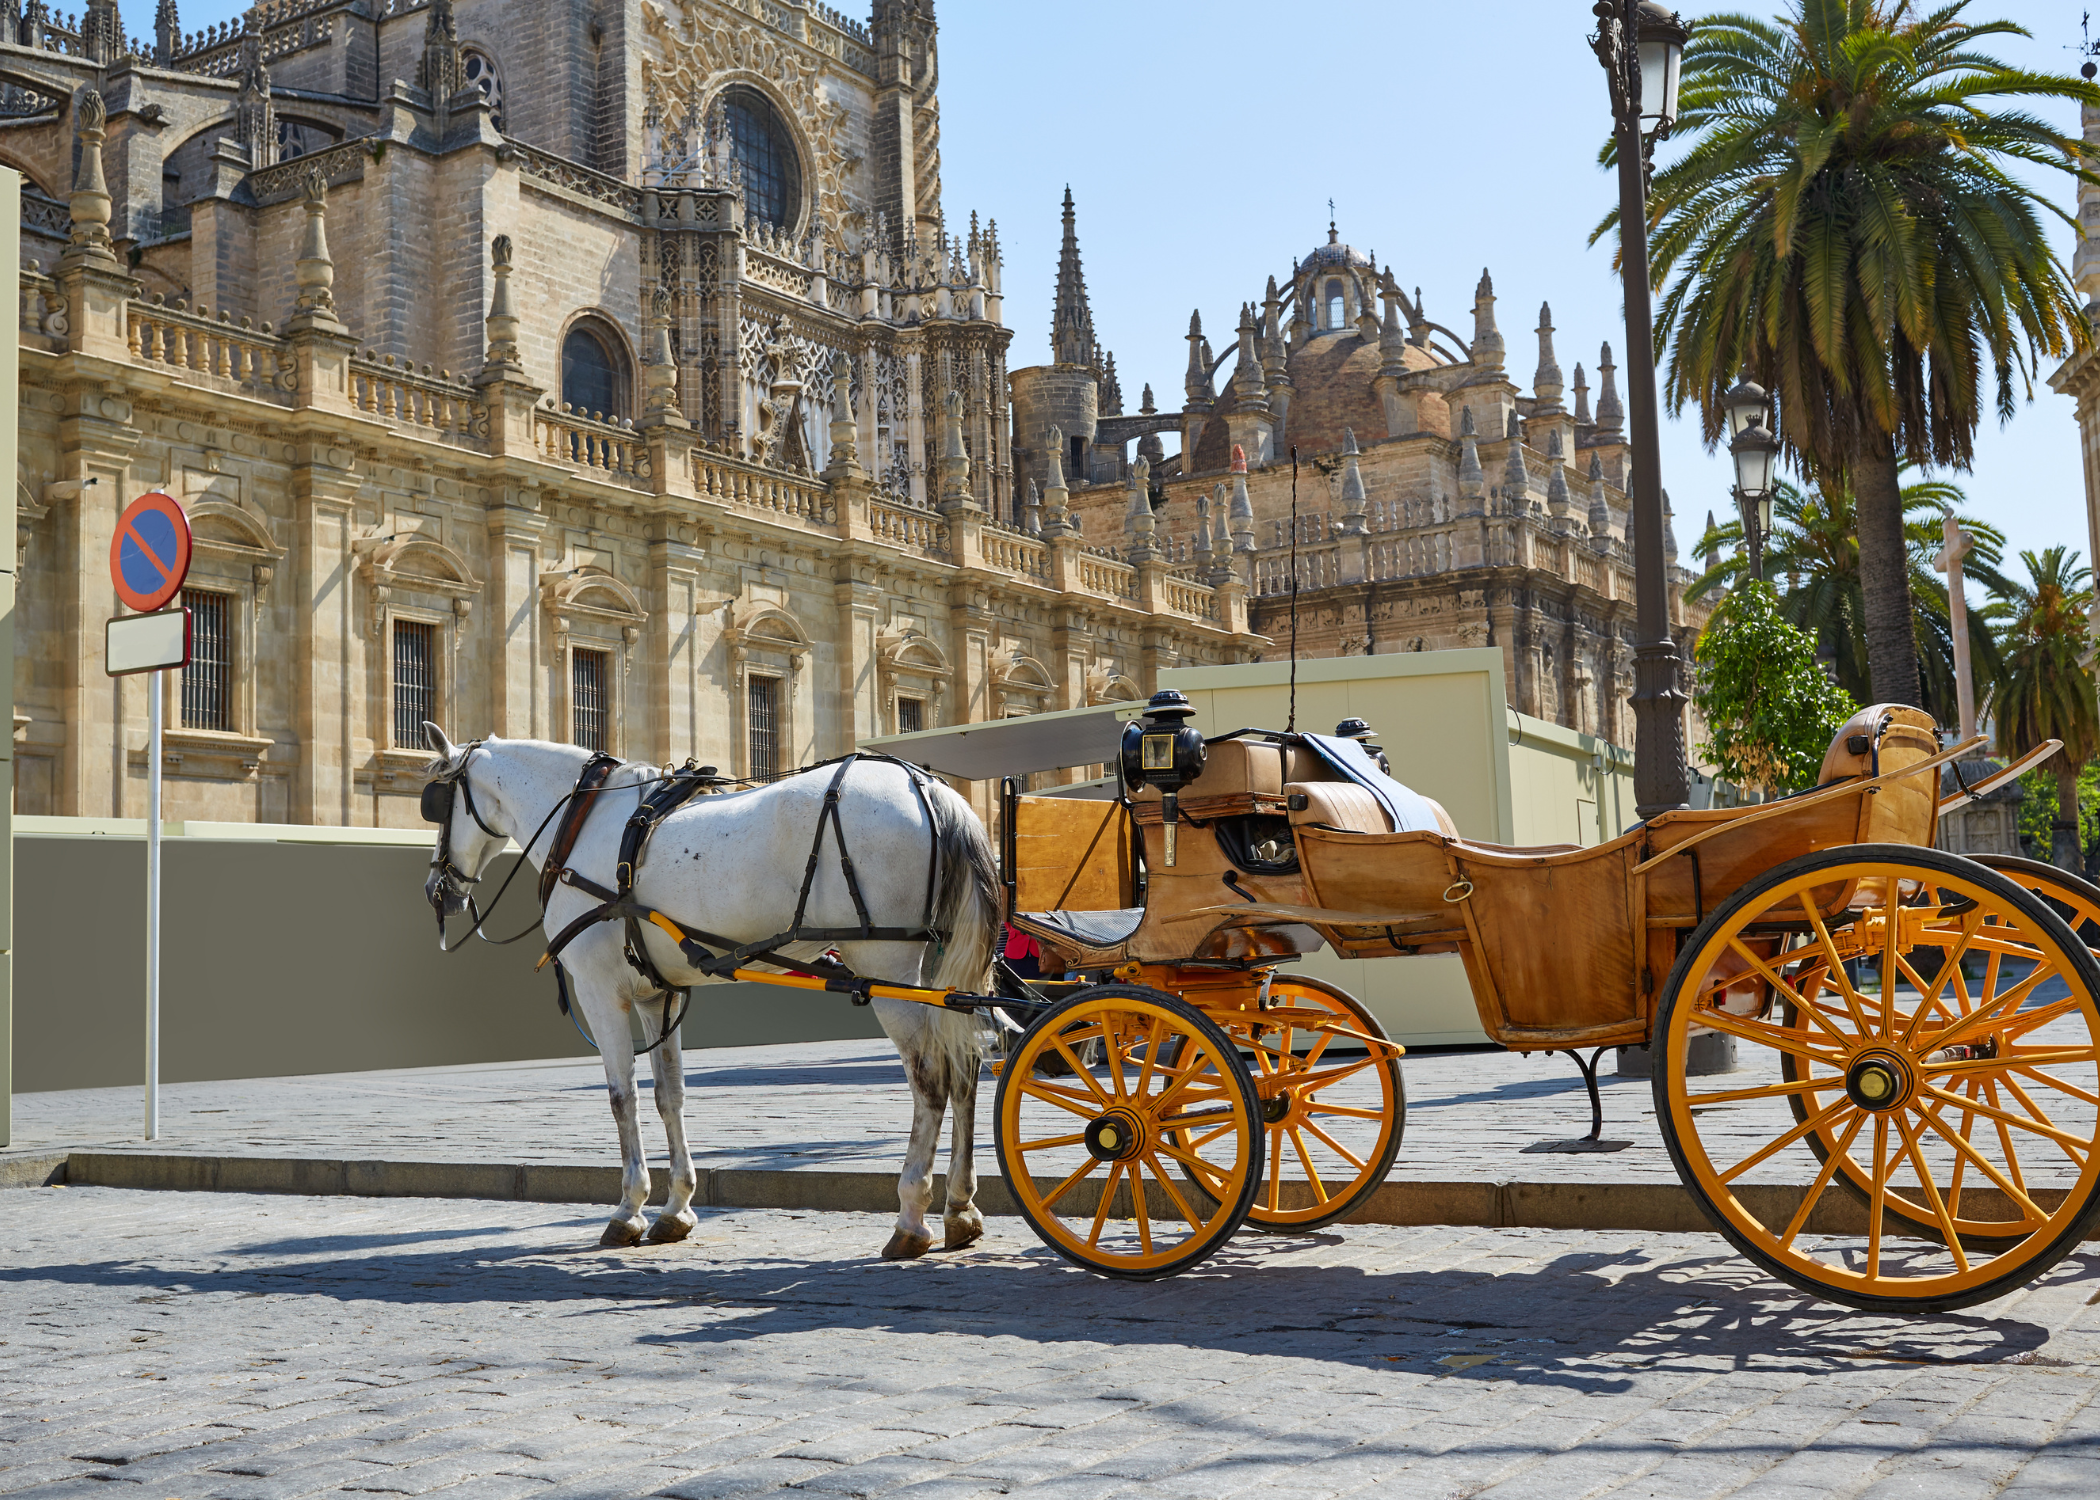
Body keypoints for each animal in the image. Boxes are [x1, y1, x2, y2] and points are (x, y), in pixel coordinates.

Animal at [417, 722, 999, 1252]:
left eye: (438, 802)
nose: (436, 890)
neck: (584, 823)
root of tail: (929, 787)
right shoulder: (659, 994)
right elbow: (668, 1095)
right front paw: (675, 1207)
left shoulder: (601, 992)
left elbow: (622, 1097)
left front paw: (628, 1209)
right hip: (941, 973)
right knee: (967, 1068)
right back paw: (961, 1208)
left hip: (887, 964)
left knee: (930, 1078)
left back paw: (911, 1216)